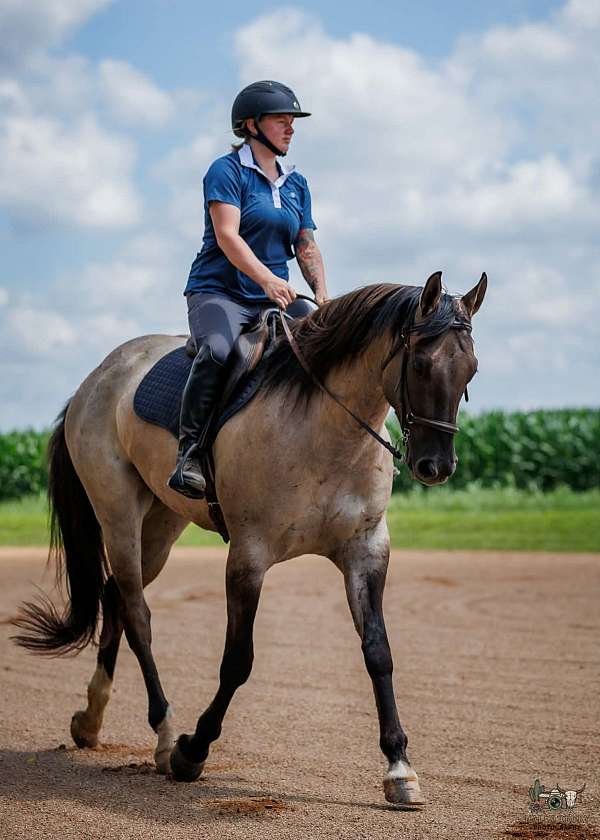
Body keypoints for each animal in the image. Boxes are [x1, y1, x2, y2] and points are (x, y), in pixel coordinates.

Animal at [13, 270, 486, 806]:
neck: (326, 428)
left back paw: (90, 721)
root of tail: (97, 377)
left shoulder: (366, 552)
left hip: (160, 525)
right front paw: (191, 750)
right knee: (136, 615)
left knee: (115, 598)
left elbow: (378, 653)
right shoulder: (249, 556)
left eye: (470, 369)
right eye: (422, 364)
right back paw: (163, 735)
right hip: (118, 515)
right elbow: (237, 661)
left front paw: (400, 767)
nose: (436, 466)